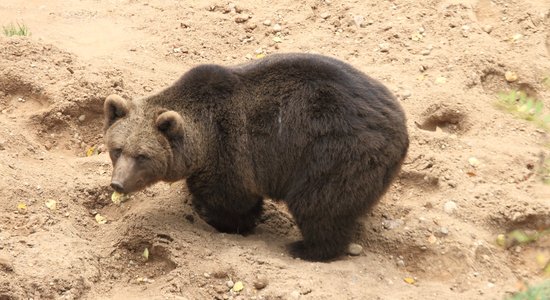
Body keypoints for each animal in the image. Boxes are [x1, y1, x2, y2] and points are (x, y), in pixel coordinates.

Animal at [105, 52, 412, 262]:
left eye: (142, 156)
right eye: (117, 149)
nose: (118, 183)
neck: (201, 139)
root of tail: (401, 124)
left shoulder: (230, 150)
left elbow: (232, 200)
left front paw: (223, 220)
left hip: (335, 151)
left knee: (319, 204)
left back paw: (306, 247)